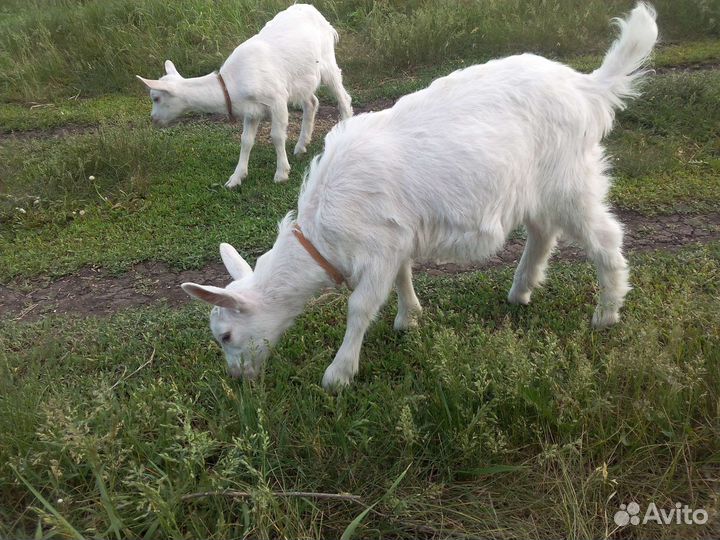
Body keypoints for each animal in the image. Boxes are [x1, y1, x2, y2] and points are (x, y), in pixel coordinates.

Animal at [137, 4, 353, 186]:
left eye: (156, 98)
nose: (153, 119)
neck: (232, 83)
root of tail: (313, 10)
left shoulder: (276, 100)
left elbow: (276, 136)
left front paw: (281, 173)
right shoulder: (252, 111)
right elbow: (246, 140)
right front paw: (236, 178)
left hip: (326, 62)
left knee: (343, 98)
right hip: (301, 79)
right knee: (311, 102)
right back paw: (301, 146)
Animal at [182, 4, 658, 390]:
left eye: (225, 335)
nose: (237, 378)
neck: (323, 229)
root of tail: (588, 89)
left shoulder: (378, 245)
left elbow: (360, 307)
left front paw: (339, 374)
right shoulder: (396, 238)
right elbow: (402, 277)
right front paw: (408, 318)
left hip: (570, 179)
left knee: (605, 239)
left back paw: (606, 313)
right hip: (533, 188)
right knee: (543, 233)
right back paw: (520, 291)